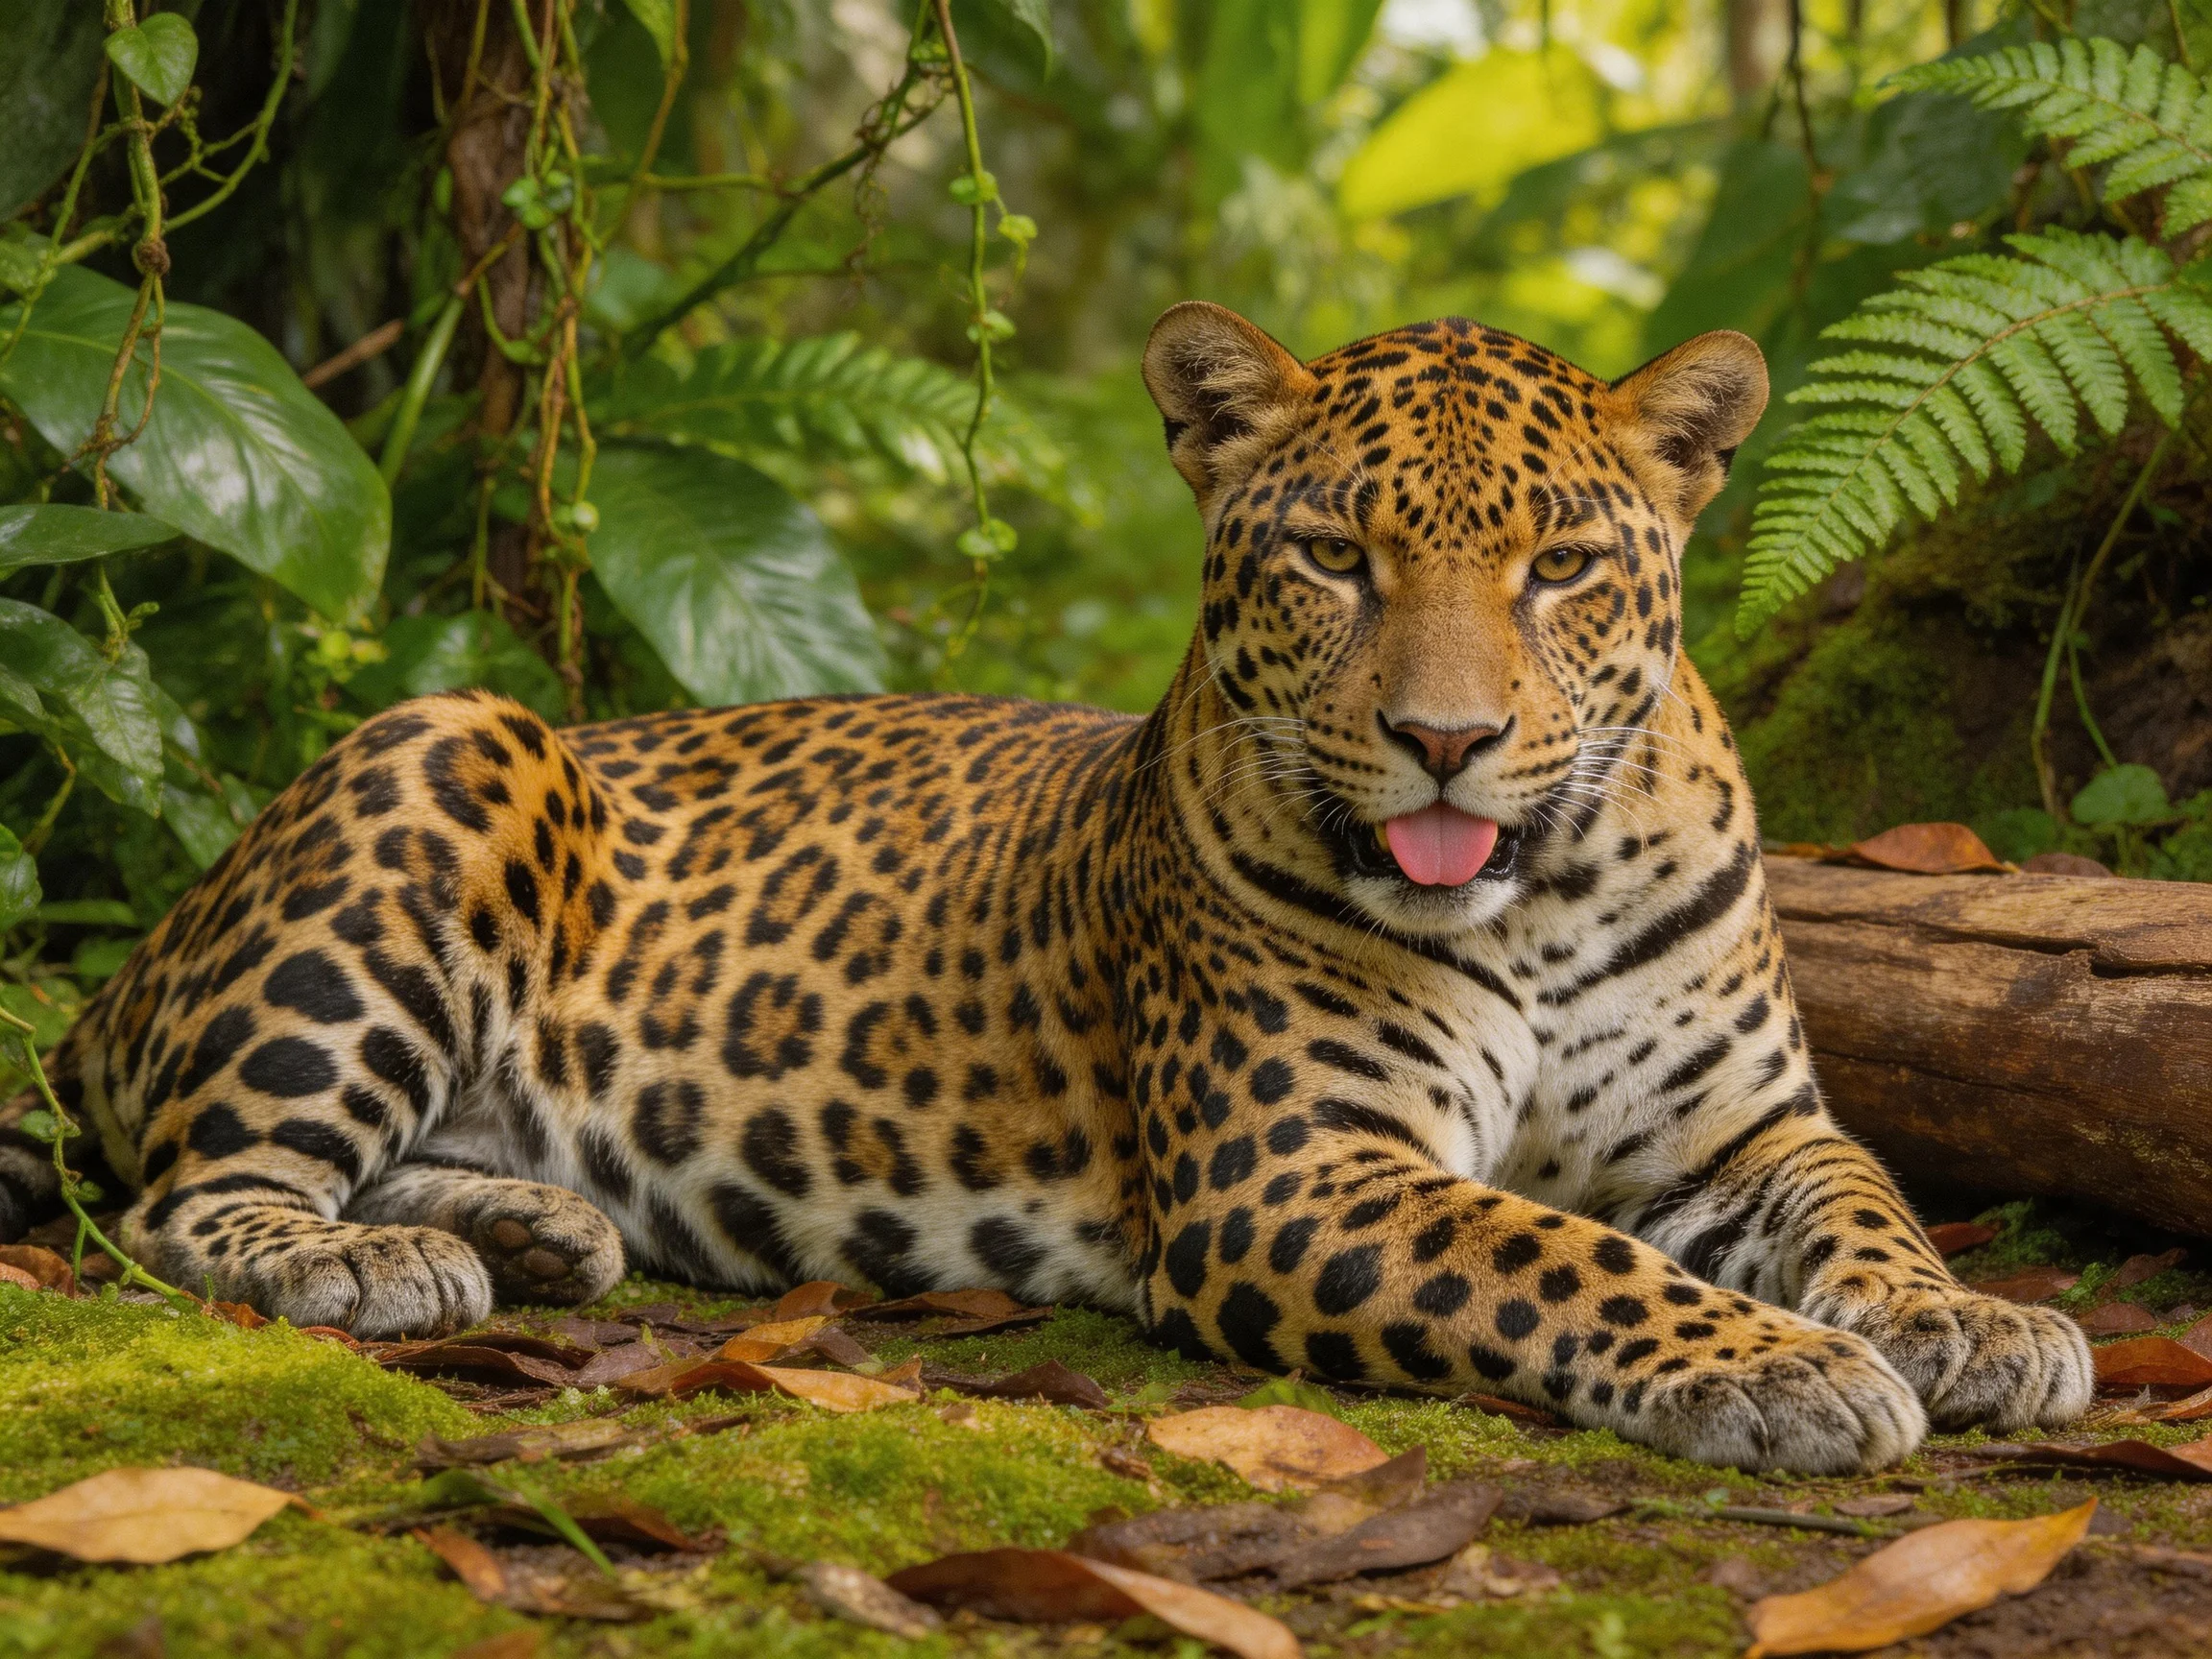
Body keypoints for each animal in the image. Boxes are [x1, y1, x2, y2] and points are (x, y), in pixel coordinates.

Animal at [1, 302, 2092, 1474]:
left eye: (1562, 566)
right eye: (1331, 557)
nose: (1444, 741)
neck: (1543, 896)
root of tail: (148, 958)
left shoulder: (1746, 1128)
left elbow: (1864, 1206)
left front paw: (1964, 1323)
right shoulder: (1288, 1173)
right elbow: (1553, 1251)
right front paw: (1787, 1368)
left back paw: (533, 1229)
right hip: (447, 745)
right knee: (195, 1190)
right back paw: (366, 1260)